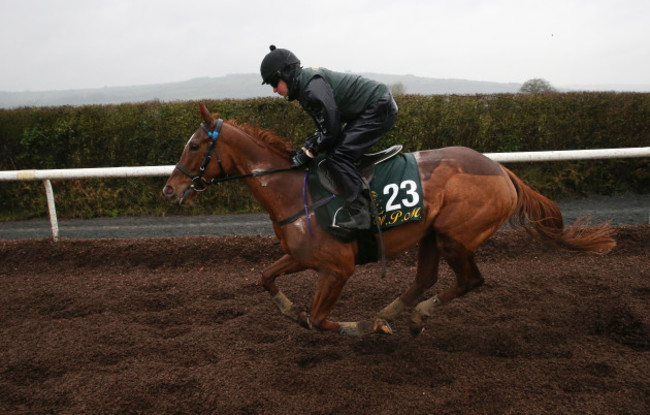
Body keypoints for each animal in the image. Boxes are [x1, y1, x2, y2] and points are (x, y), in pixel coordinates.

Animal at [162, 103, 612, 338]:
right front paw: (291, 311)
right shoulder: (301, 256)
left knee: (470, 281)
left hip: (454, 236)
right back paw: (395, 313)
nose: (169, 189)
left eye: (195, 146)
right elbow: (266, 277)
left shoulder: (338, 268)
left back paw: (412, 316)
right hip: (431, 234)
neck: (293, 190)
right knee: (426, 278)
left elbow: (320, 319)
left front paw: (363, 327)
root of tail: (502, 171)